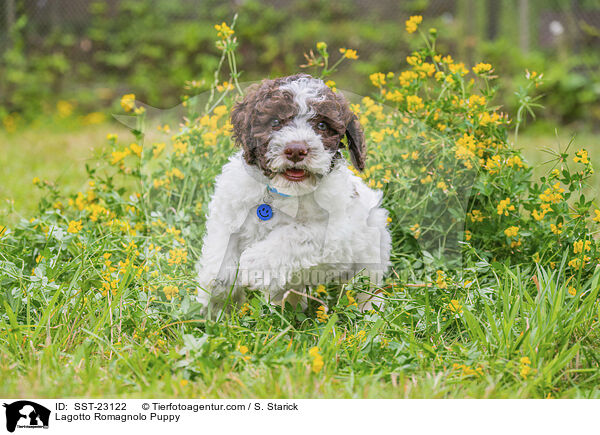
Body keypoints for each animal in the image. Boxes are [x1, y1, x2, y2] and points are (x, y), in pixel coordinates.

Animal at [197, 74, 392, 314]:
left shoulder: (335, 234)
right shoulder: (228, 213)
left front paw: (254, 265)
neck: (282, 192)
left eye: (321, 125)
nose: (296, 150)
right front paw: (217, 305)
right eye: (275, 122)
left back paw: (370, 309)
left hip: (372, 247)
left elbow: (295, 235)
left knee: (366, 285)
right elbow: (219, 255)